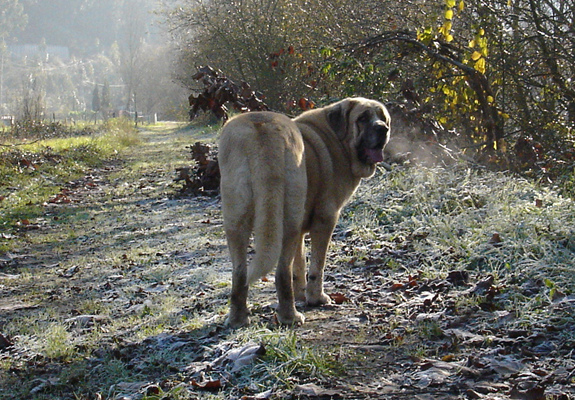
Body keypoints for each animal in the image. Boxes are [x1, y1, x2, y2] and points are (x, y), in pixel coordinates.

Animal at [219, 97, 392, 328]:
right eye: (363, 118)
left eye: (382, 117)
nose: (382, 128)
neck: (337, 139)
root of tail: (262, 128)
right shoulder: (325, 220)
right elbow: (316, 265)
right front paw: (315, 298)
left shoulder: (301, 229)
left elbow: (299, 264)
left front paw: (301, 293)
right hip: (288, 221)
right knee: (281, 272)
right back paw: (290, 317)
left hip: (236, 222)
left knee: (240, 273)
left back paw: (238, 319)